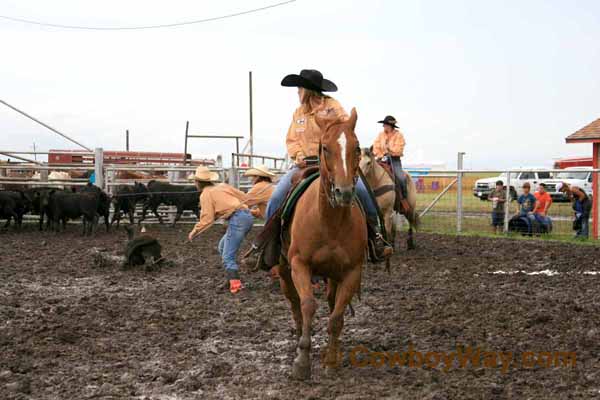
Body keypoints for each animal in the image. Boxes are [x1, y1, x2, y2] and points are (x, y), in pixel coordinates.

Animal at [278, 108, 368, 380]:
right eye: (325, 147)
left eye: (357, 147)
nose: (343, 192)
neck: (329, 222)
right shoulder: (299, 264)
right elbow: (308, 305)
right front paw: (302, 361)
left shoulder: (352, 272)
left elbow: (336, 317)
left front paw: (330, 361)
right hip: (283, 270)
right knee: (294, 303)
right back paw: (298, 337)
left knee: (331, 304)